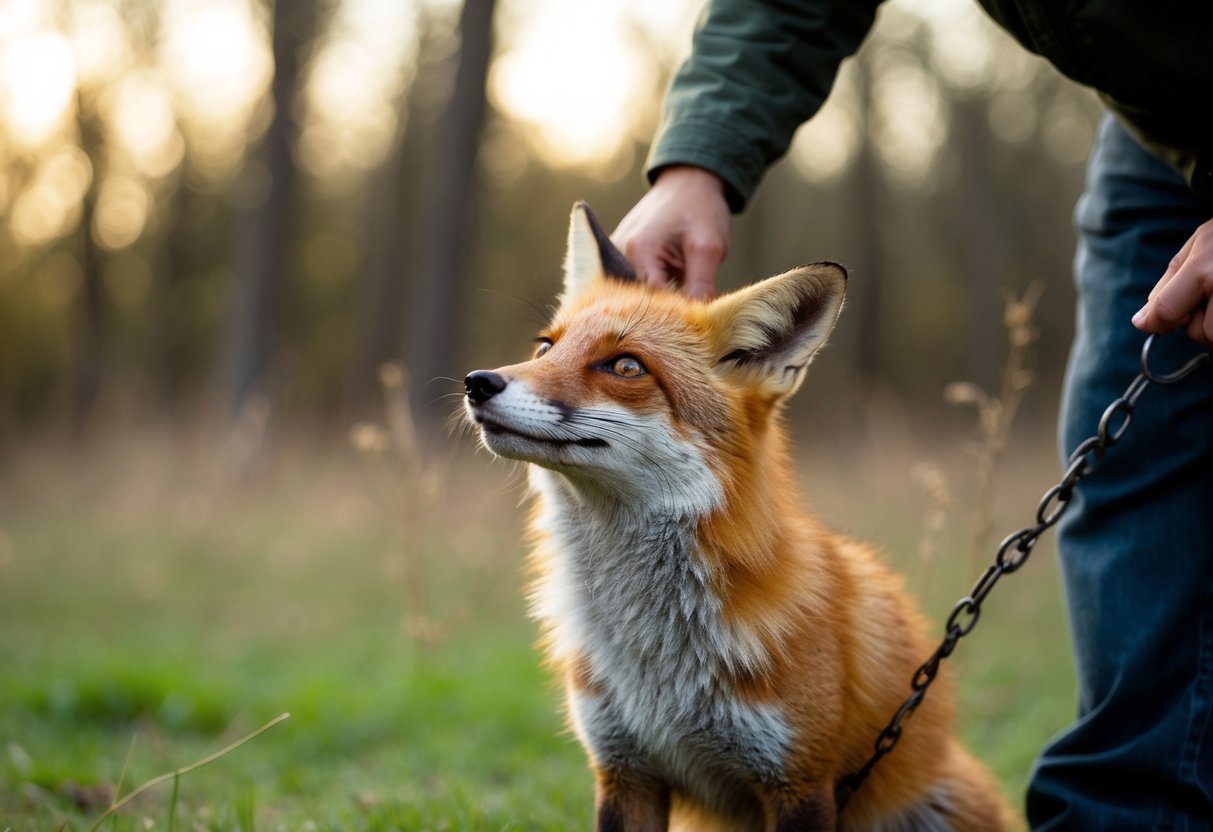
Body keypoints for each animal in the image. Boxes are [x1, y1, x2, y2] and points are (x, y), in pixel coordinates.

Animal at [464, 202, 1017, 831]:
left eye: (625, 366)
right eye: (544, 349)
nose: (478, 383)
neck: (658, 660)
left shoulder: (799, 781)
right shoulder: (624, 768)